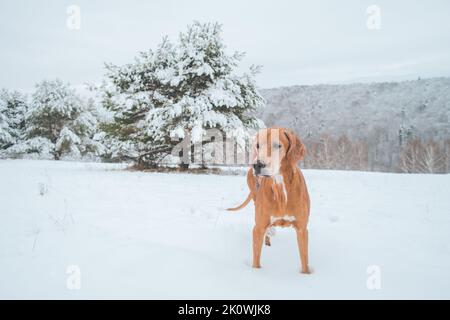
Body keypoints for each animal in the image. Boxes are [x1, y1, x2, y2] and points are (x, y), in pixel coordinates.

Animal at [229, 127, 310, 272]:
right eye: (257, 145)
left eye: (277, 145)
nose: (257, 165)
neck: (280, 185)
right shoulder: (258, 228)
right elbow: (256, 259)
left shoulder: (302, 229)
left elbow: (304, 261)